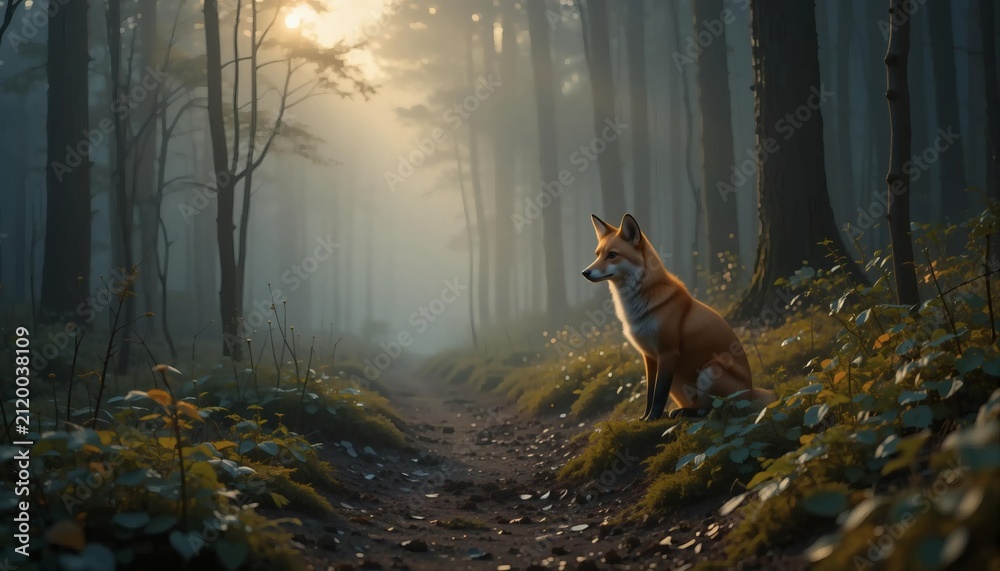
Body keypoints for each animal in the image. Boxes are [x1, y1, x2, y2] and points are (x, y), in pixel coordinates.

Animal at [582, 214, 775, 421]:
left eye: (612, 255)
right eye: (597, 254)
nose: (585, 272)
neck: (640, 310)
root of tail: (751, 391)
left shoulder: (668, 352)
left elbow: (659, 393)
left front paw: (653, 418)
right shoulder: (649, 356)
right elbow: (650, 392)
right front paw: (644, 418)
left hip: (710, 369)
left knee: (721, 409)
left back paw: (693, 412)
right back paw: (681, 411)